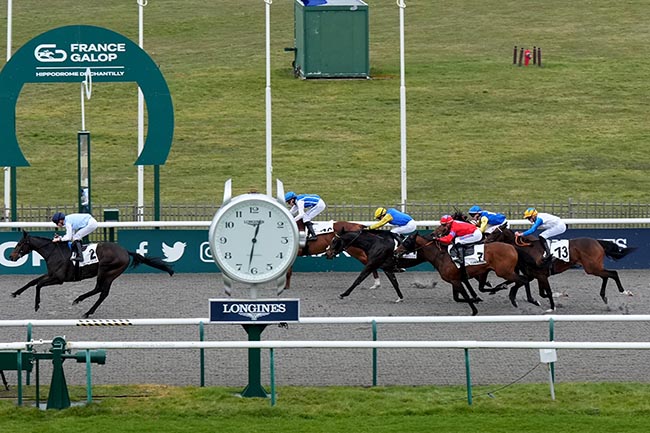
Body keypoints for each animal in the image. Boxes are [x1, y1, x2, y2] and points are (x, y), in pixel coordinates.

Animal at [10, 230, 172, 318]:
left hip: (106, 271)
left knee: (101, 290)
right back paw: (83, 305)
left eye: (19, 244)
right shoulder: (51, 274)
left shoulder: (59, 278)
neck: (53, 252)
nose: (11, 256)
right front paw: (15, 293)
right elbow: (32, 282)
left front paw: (37, 305)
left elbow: (38, 284)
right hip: (109, 274)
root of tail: (125, 251)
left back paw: (83, 306)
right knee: (101, 291)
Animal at [392, 233, 536, 314]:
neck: (441, 255)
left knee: (523, 280)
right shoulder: (455, 280)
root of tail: (513, 247)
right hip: (496, 271)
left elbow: (465, 296)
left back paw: (530, 299)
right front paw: (476, 299)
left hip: (504, 271)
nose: (395, 252)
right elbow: (458, 297)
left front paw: (474, 310)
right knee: (519, 280)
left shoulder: (456, 281)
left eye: (406, 241)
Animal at [492, 226, 632, 304]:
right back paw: (604, 296)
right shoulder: (534, 275)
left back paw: (625, 292)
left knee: (612, 273)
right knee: (606, 276)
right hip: (594, 267)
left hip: (592, 267)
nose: (487, 240)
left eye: (494, 232)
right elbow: (539, 291)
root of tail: (597, 242)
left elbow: (544, 292)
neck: (528, 250)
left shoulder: (540, 275)